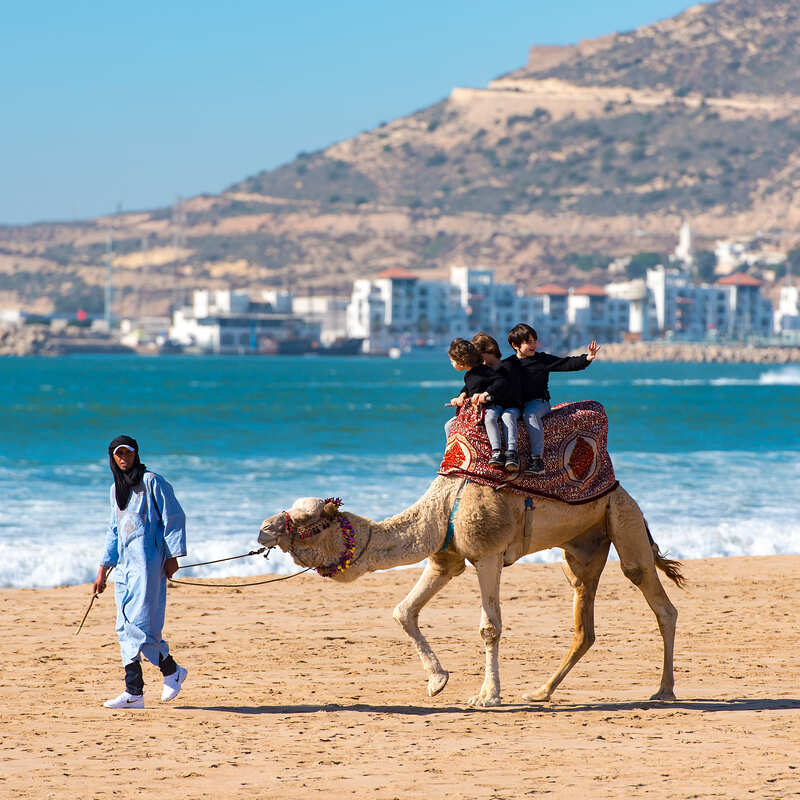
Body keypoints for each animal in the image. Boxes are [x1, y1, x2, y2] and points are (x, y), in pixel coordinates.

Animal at [258, 476, 680, 708]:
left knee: (656, 597)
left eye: (306, 520)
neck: (442, 507)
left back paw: (664, 691)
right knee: (584, 626)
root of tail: (624, 492)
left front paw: (487, 696)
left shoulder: (488, 553)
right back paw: (540, 693)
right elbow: (403, 611)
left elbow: (489, 627)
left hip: (622, 517)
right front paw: (437, 681)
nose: (263, 529)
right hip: (582, 549)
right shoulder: (445, 558)